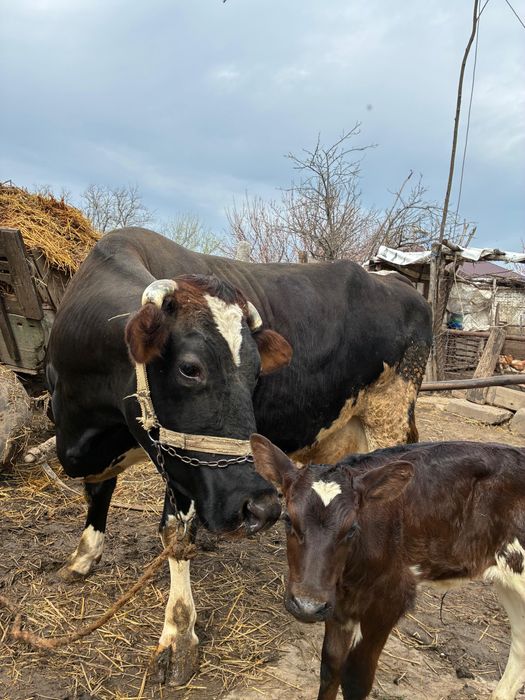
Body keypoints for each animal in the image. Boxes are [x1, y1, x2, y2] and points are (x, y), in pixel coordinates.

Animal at [45, 227, 431, 684]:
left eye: (256, 373)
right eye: (189, 368)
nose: (263, 508)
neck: (89, 427)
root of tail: (403, 287)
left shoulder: (184, 469)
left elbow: (176, 537)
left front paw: (179, 637)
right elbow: (98, 492)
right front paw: (83, 558)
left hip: (392, 411)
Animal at [250, 435, 525, 700]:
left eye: (352, 528)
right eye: (288, 519)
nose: (307, 606)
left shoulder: (389, 600)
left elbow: (356, 679)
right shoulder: (337, 602)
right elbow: (330, 668)